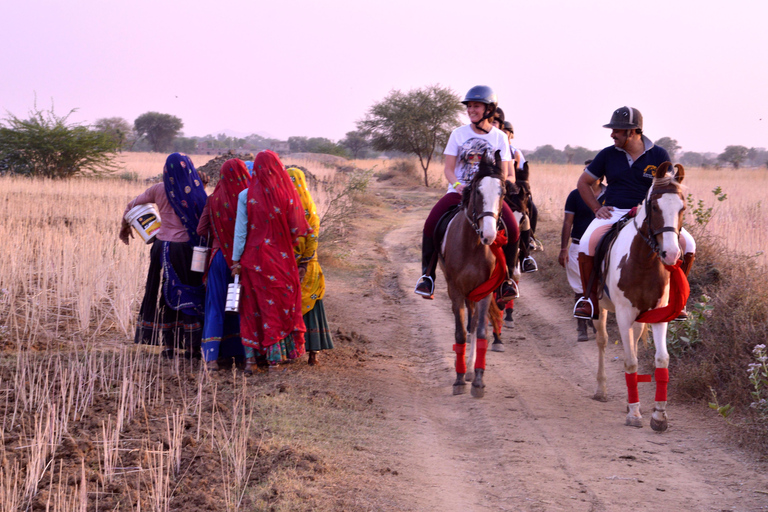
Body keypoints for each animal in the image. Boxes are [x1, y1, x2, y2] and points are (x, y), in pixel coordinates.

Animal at [438, 150, 520, 398]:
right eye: (477, 191)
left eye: (503, 192)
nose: (490, 235)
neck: (473, 244)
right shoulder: (455, 290)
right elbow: (460, 333)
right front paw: (458, 380)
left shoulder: (485, 289)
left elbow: (481, 331)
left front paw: (478, 381)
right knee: (469, 323)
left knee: (475, 323)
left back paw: (471, 369)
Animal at [592, 162, 688, 430]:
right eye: (655, 207)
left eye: (682, 208)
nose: (671, 254)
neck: (644, 260)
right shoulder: (623, 314)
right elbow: (631, 361)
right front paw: (634, 413)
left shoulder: (658, 315)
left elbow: (662, 360)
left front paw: (659, 415)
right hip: (600, 308)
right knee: (602, 341)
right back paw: (601, 390)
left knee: (633, 341)